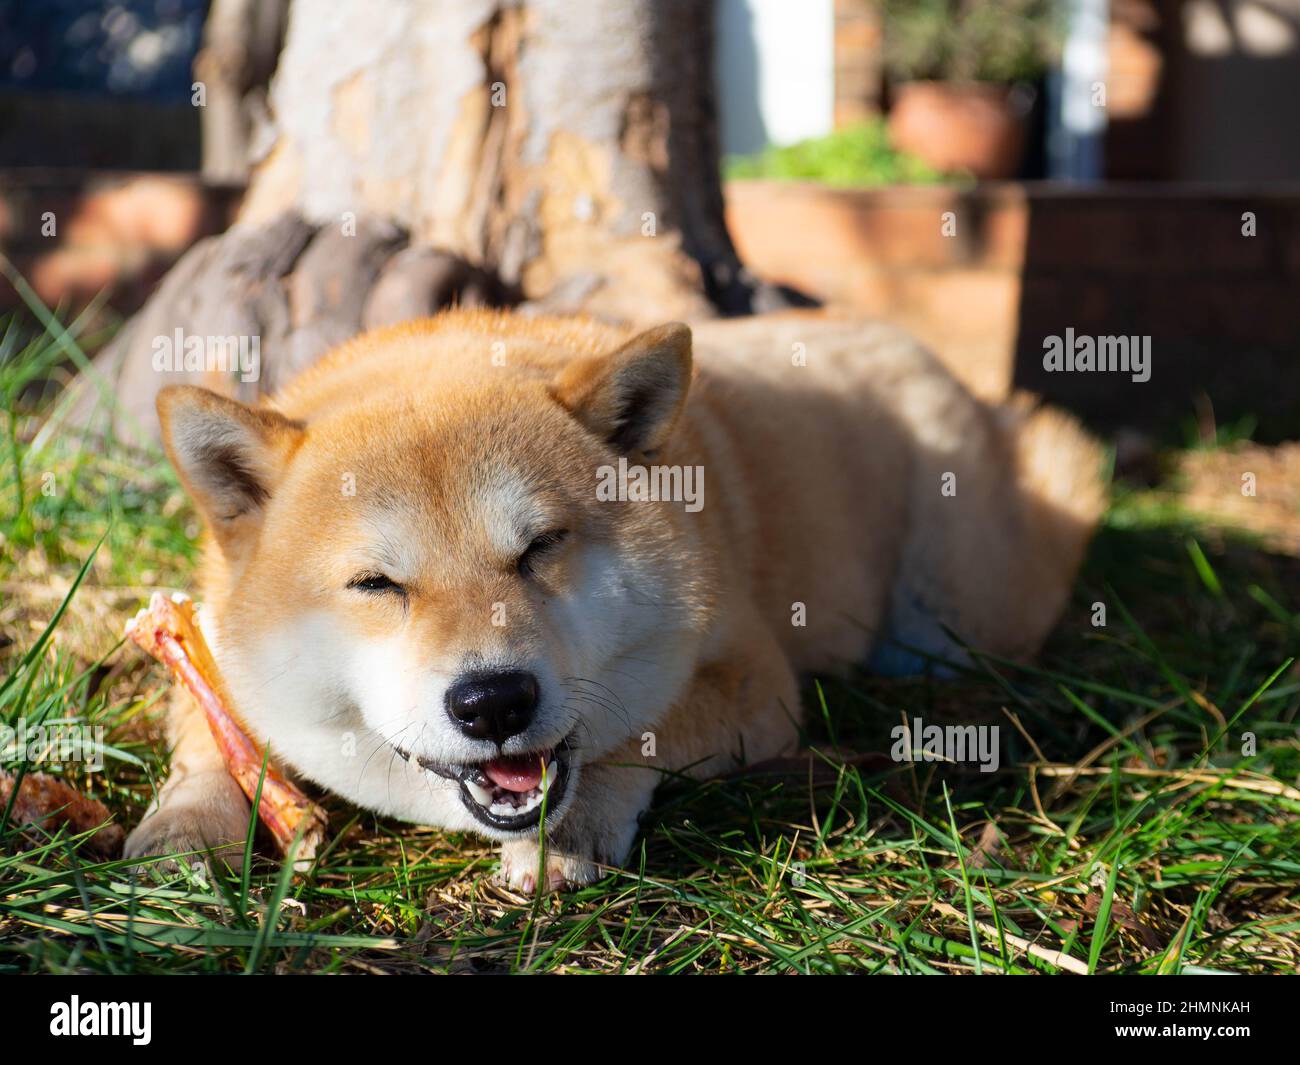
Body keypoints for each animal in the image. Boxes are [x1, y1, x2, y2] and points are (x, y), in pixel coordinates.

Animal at [122, 308, 1102, 889]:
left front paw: (577, 821)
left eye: (541, 547)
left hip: (953, 611)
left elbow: (635, 732)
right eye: (377, 584)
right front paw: (187, 823)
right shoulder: (206, 641)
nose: (494, 700)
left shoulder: (755, 679)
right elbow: (206, 734)